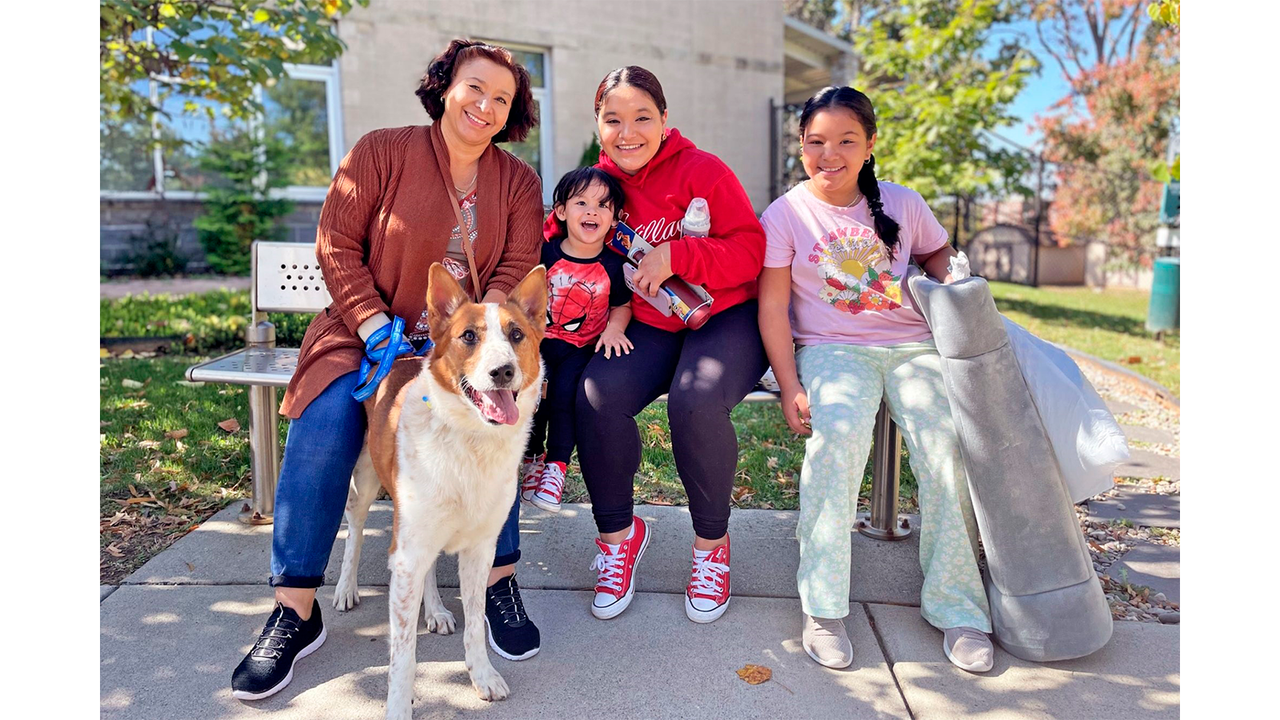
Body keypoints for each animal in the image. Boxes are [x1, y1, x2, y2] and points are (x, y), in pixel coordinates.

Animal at [330, 262, 545, 712]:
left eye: (517, 334)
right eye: (469, 336)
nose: (503, 371)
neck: (471, 440)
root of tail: (400, 353)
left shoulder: (480, 549)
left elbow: (476, 625)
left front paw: (482, 676)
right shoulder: (406, 556)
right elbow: (403, 655)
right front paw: (398, 707)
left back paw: (435, 610)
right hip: (367, 480)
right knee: (354, 529)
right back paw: (345, 588)